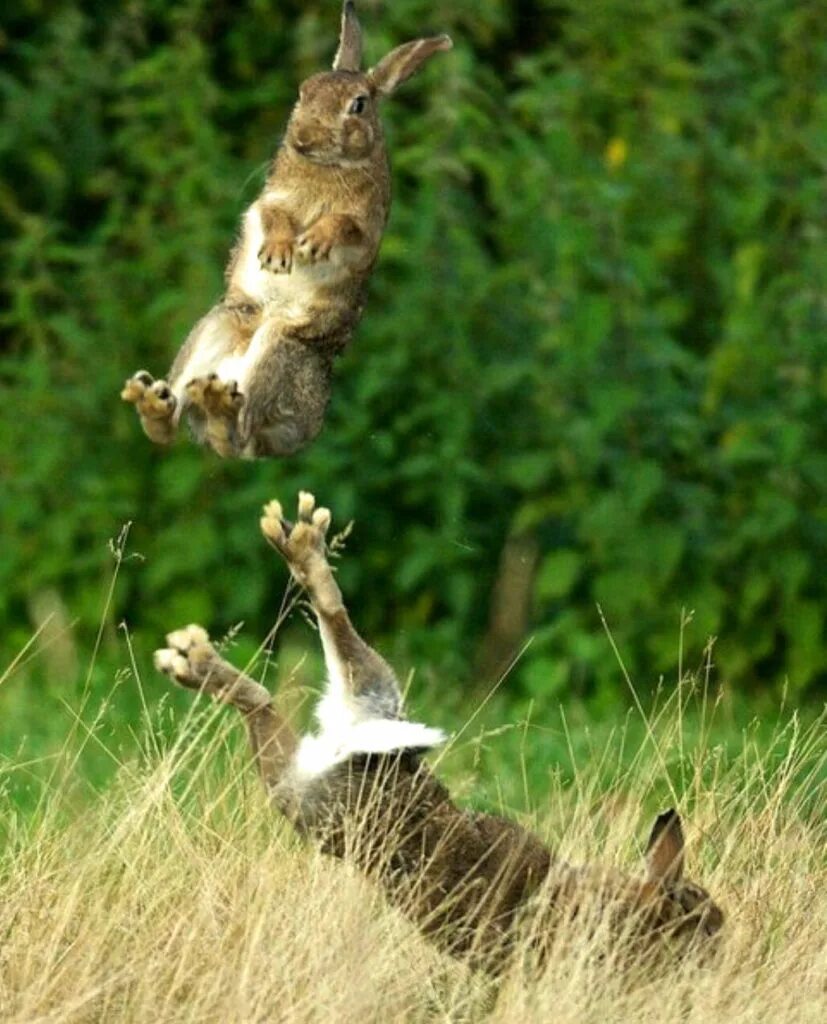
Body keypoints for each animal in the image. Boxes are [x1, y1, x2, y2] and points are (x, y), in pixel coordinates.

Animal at [121, 3, 452, 460]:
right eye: (303, 91)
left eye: (359, 105)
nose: (303, 138)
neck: (325, 166)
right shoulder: (270, 202)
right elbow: (274, 217)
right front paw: (278, 255)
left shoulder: (366, 227)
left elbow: (342, 225)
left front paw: (312, 244)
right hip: (218, 325)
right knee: (177, 427)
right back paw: (157, 400)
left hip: (278, 346)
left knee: (239, 436)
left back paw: (215, 406)